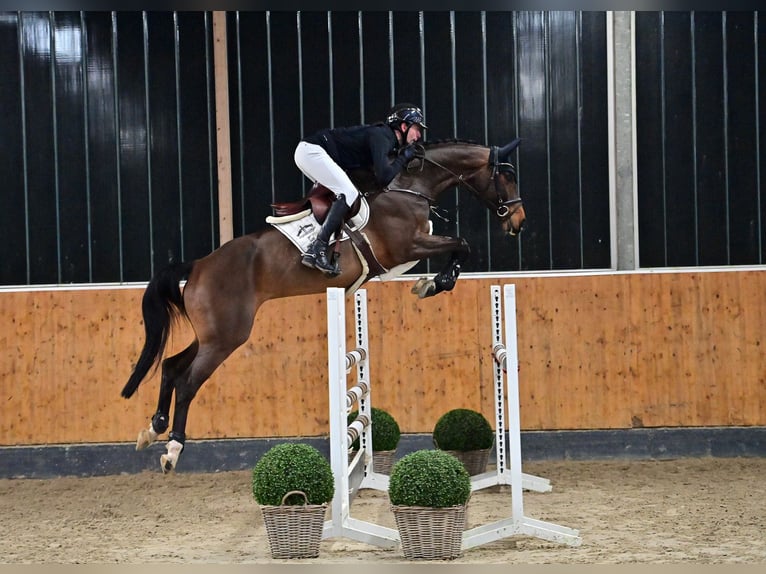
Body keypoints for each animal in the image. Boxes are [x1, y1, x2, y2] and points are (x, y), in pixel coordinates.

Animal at [121, 138, 528, 472]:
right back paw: (173, 449)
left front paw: (430, 284)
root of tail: (198, 265)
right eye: (507, 178)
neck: (410, 188)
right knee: (188, 381)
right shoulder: (407, 246)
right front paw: (435, 284)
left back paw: (152, 429)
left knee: (171, 366)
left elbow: (456, 246)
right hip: (225, 337)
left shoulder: (406, 254)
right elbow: (462, 244)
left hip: (212, 335)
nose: (519, 222)